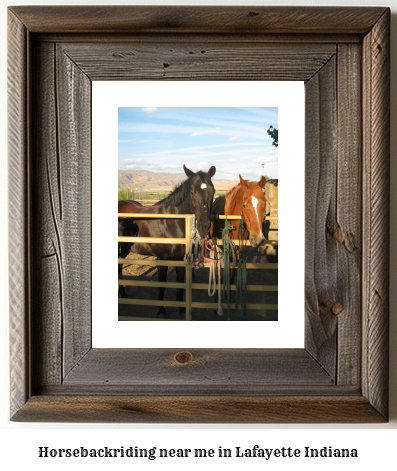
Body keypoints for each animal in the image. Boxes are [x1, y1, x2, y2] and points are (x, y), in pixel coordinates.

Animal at [118, 165, 215, 318]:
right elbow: (162, 284)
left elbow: (180, 283)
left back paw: (123, 293)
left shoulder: (180, 259)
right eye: (192, 192)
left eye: (213, 191)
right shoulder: (162, 259)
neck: (170, 221)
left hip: (125, 248)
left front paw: (181, 309)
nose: (204, 227)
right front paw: (161, 309)